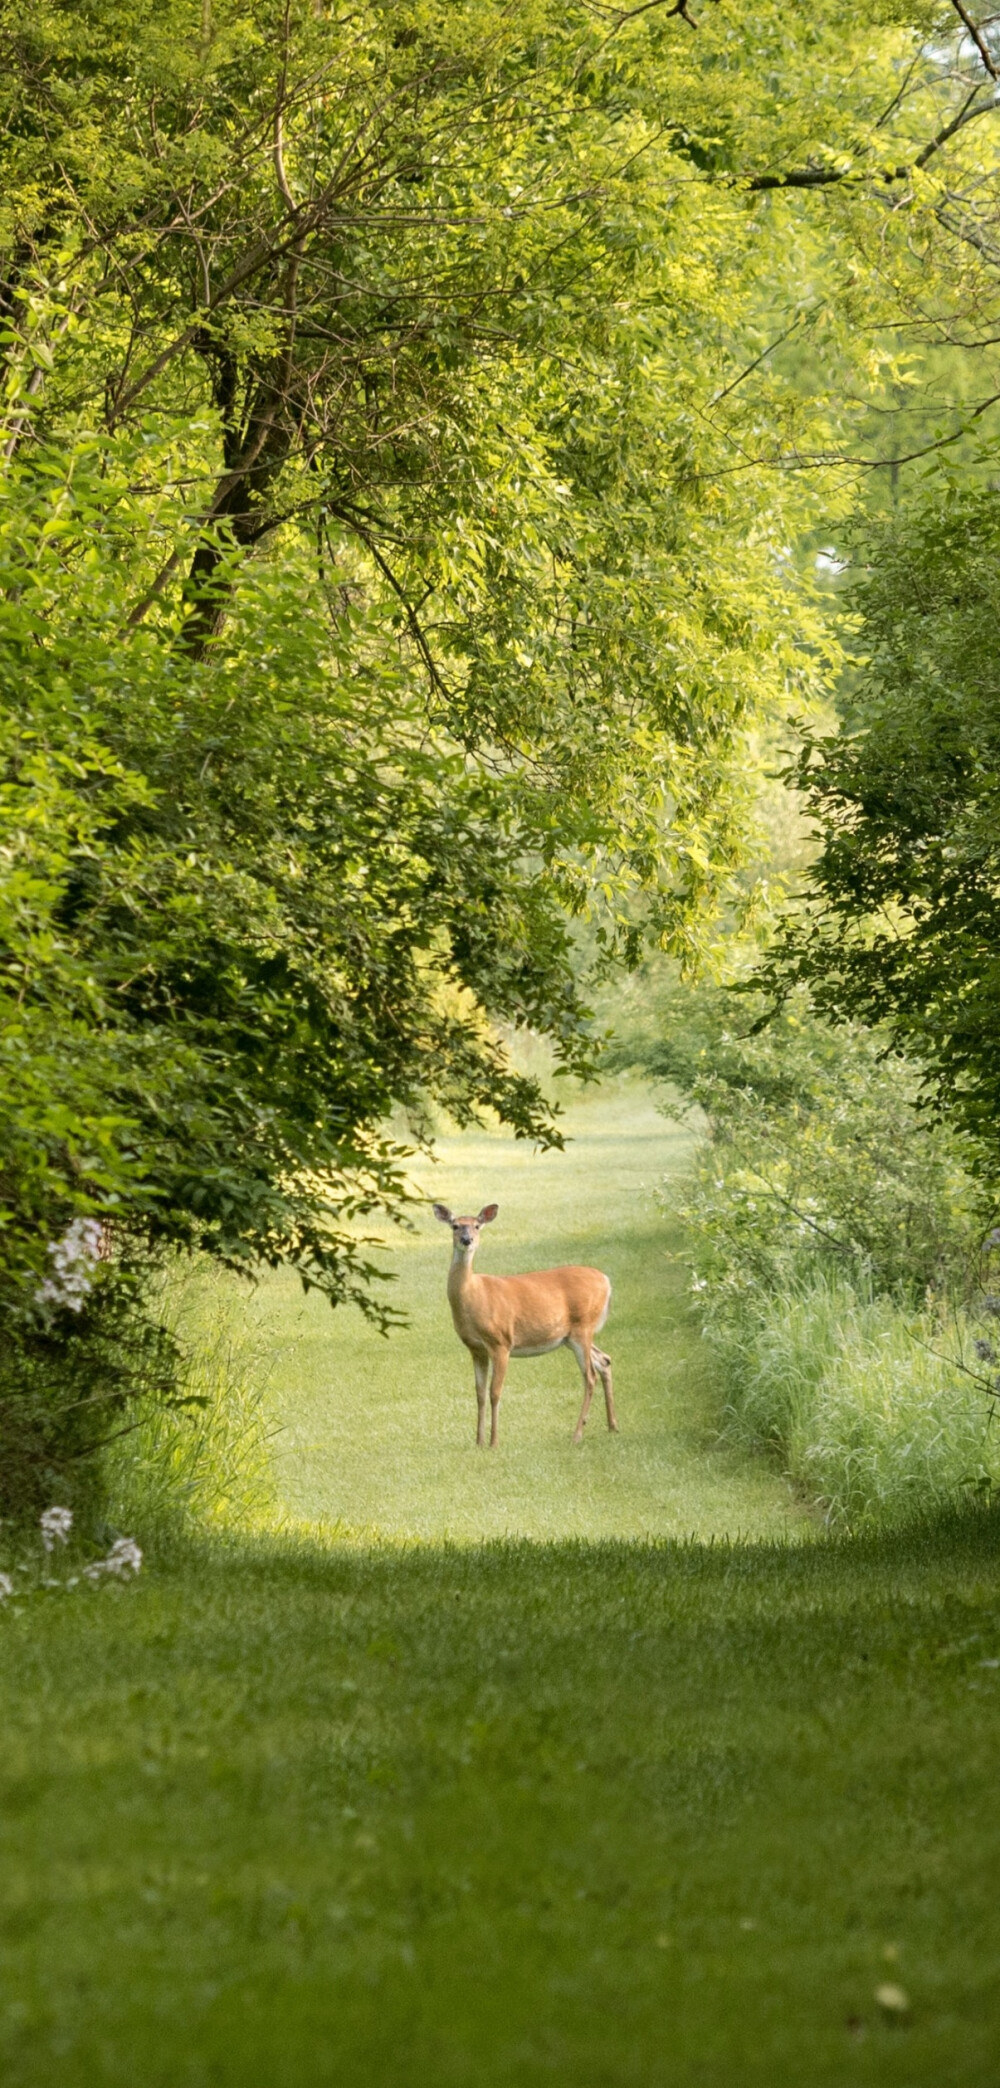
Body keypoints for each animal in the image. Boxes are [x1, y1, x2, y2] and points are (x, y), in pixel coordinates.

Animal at [432, 1202, 617, 1444]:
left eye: (477, 1226)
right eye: (455, 1226)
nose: (467, 1240)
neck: (474, 1295)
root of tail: (606, 1280)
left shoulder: (501, 1342)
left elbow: (494, 1392)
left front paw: (493, 1442)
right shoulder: (476, 1348)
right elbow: (479, 1393)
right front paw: (478, 1441)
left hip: (583, 1327)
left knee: (590, 1376)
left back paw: (577, 1434)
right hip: (569, 1336)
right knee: (604, 1360)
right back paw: (612, 1426)